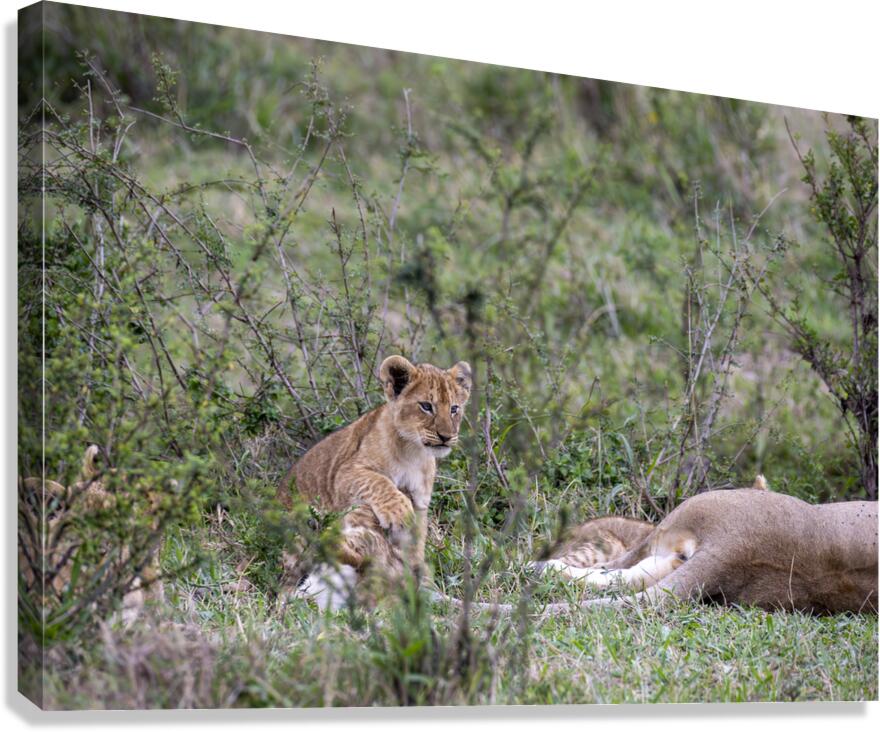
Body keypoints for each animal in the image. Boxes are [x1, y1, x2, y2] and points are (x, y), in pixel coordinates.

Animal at [278, 354, 472, 610]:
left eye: (454, 409)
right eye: (426, 406)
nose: (446, 437)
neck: (414, 453)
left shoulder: (420, 502)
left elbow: (415, 545)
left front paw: (419, 584)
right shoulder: (346, 472)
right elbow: (378, 481)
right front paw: (398, 511)